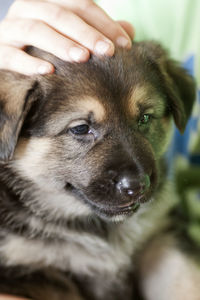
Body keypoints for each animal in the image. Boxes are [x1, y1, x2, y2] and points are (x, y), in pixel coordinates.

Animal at [0, 42, 198, 300]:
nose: (137, 186)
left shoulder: (162, 233)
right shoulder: (27, 270)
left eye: (145, 118)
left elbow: (185, 281)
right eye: (81, 128)